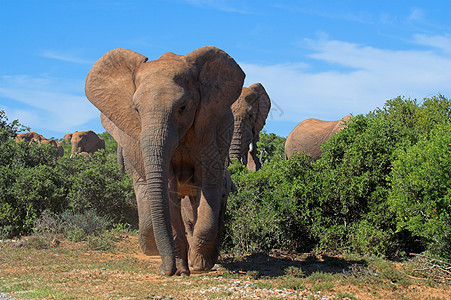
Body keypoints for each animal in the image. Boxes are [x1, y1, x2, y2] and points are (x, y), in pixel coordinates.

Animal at [86, 45, 245, 276]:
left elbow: (208, 184)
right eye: (136, 110)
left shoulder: (206, 129)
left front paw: (200, 266)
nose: (164, 270)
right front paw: (181, 270)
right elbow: (168, 190)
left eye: (182, 107)